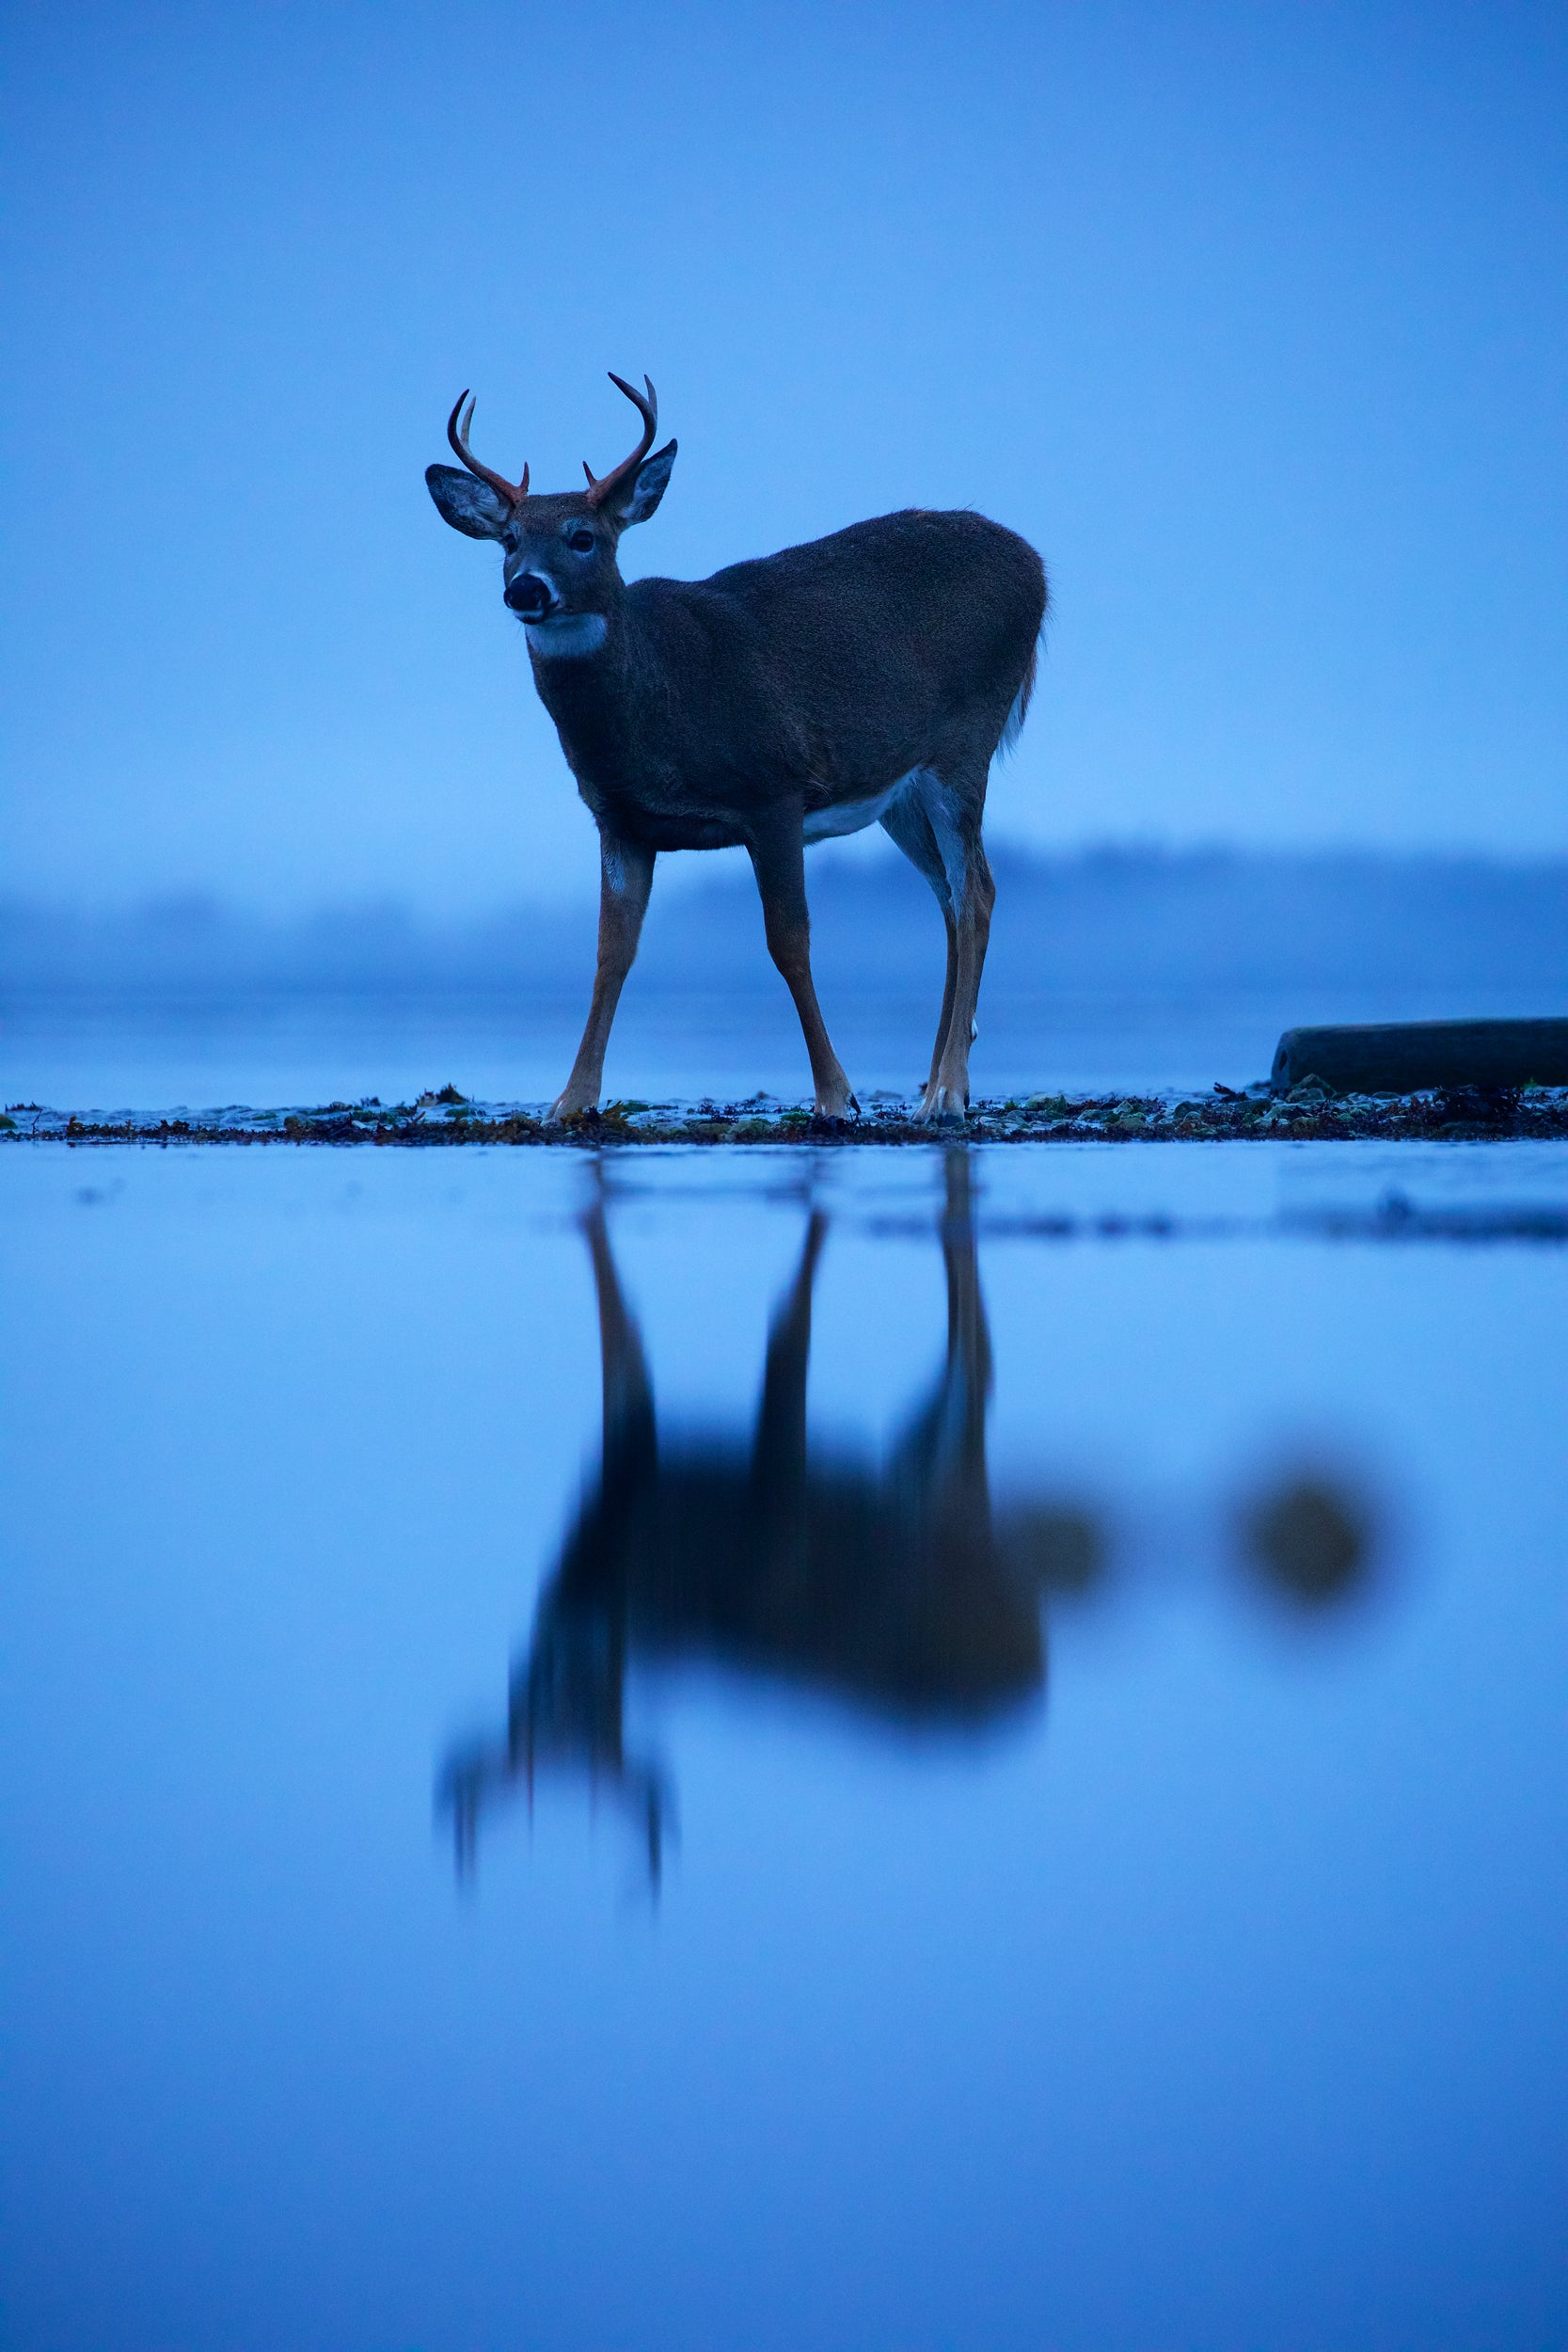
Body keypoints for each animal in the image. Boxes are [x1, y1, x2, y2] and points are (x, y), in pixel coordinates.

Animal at [425, 373, 1048, 1124]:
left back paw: (947, 1093)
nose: (524, 588)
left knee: (975, 891)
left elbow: (788, 942)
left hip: (965, 741)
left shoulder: (772, 789)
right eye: (509, 540)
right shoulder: (619, 821)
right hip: (901, 791)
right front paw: (571, 1099)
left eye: (583, 537)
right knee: (952, 898)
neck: (658, 708)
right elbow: (611, 953)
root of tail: (1038, 567)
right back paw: (936, 1083)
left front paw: (836, 1095)